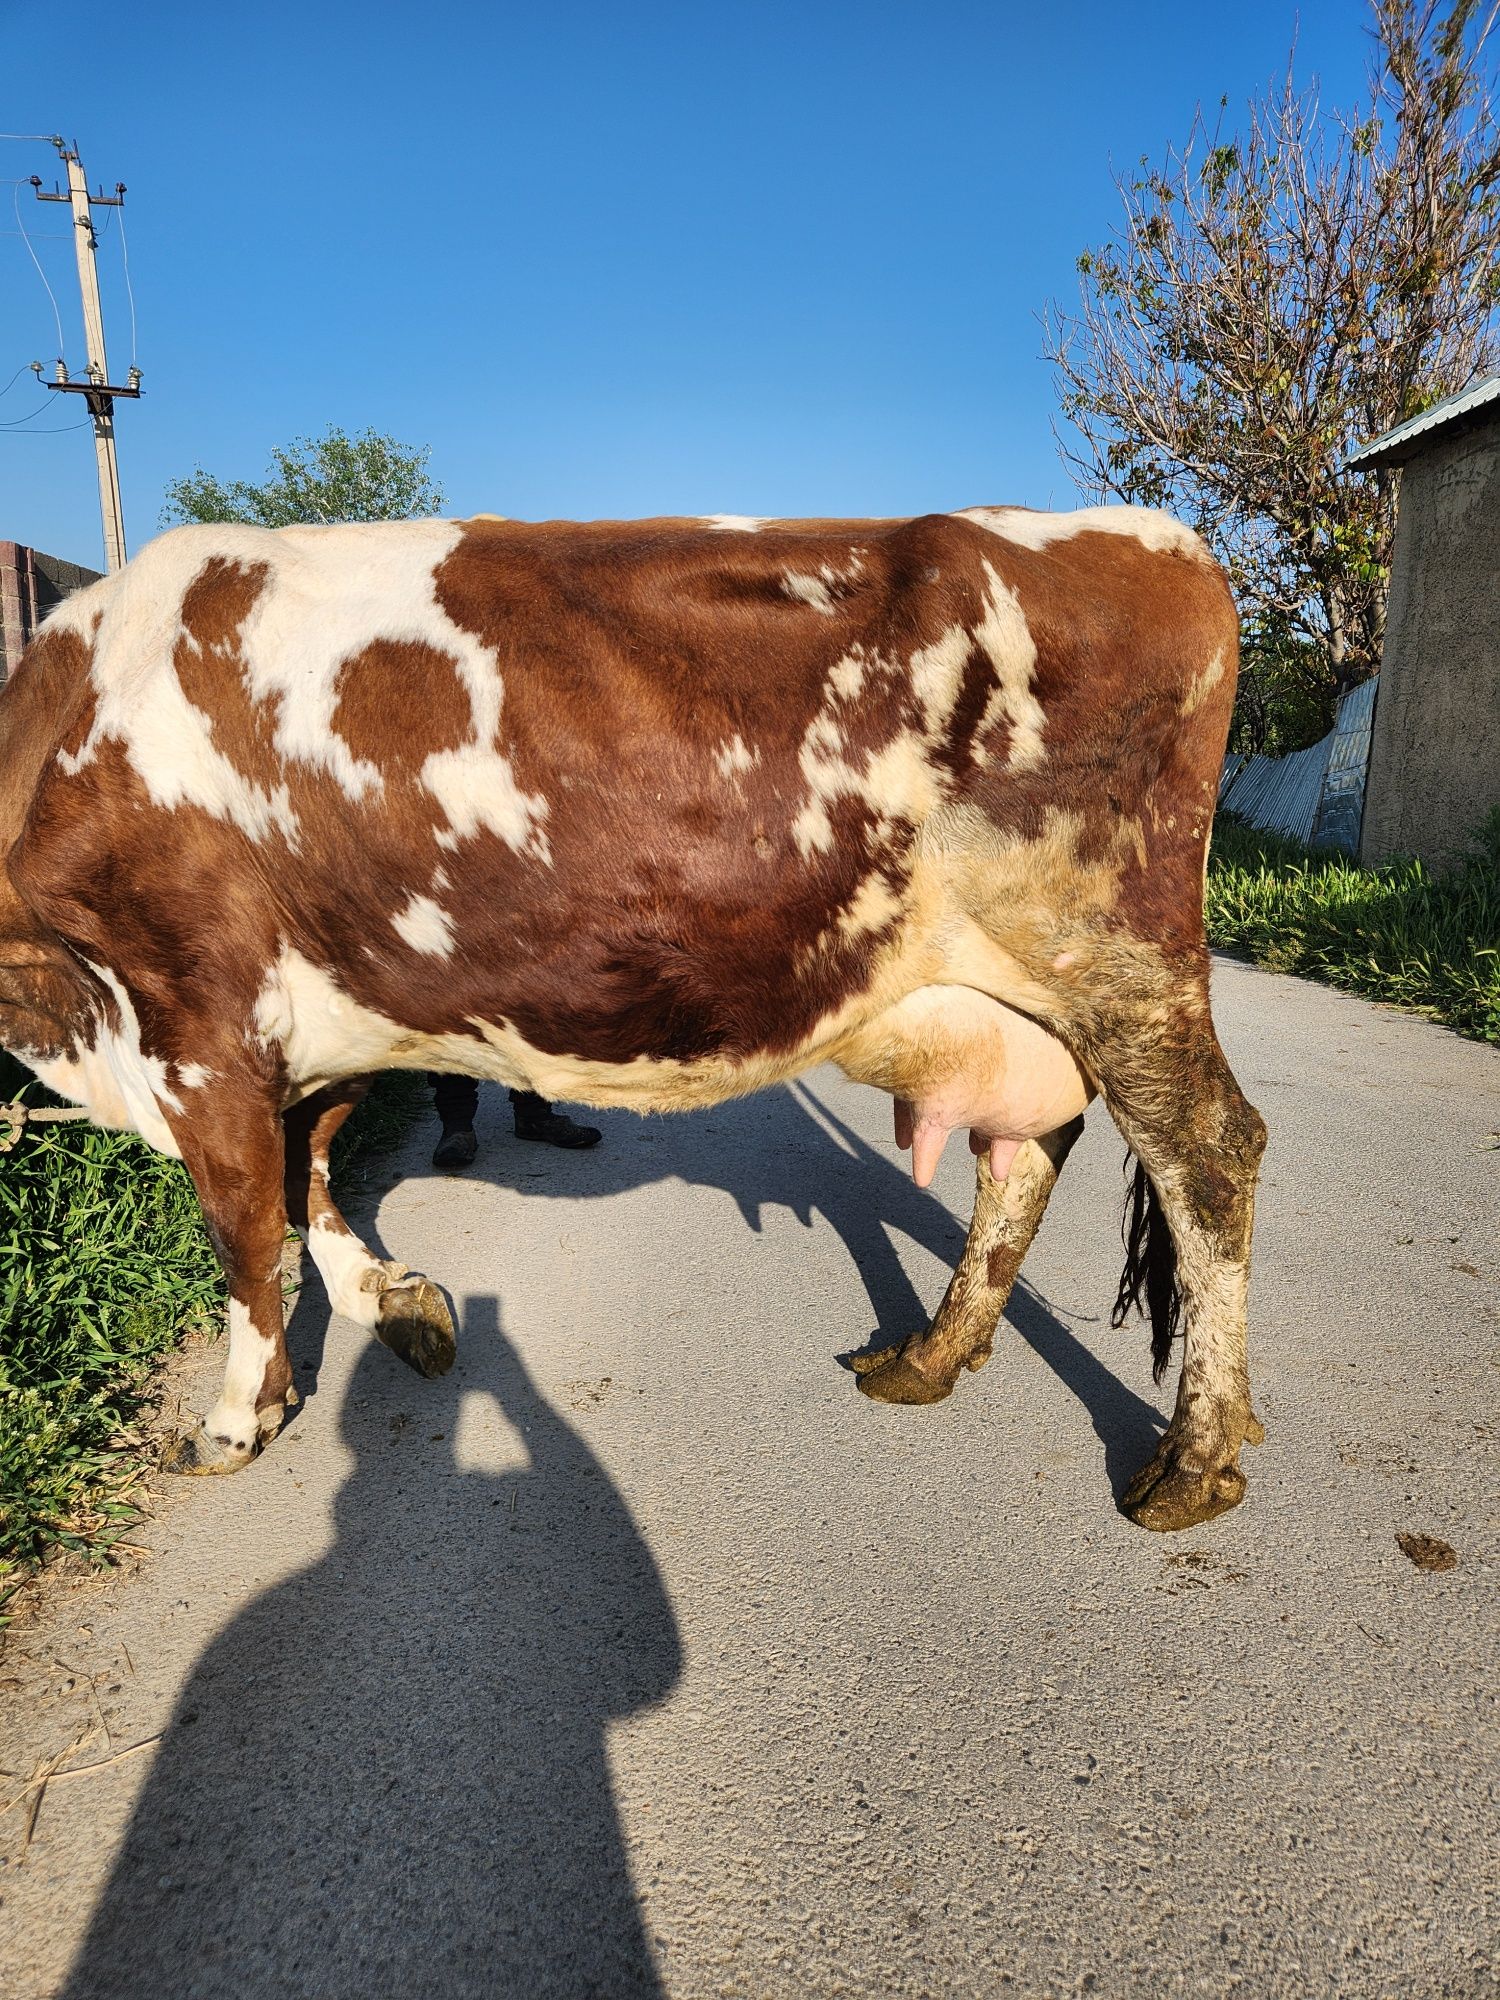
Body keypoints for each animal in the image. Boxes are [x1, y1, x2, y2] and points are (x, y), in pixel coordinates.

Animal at [0, 508, 1272, 1520]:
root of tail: (1164, 541)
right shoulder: (317, 1021)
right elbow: (307, 1186)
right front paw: (398, 1304)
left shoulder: (195, 1023)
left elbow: (246, 1235)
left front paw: (235, 1416)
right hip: (1028, 989)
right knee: (1027, 1146)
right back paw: (933, 1351)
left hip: (1121, 960)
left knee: (1210, 1155)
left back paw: (1192, 1459)